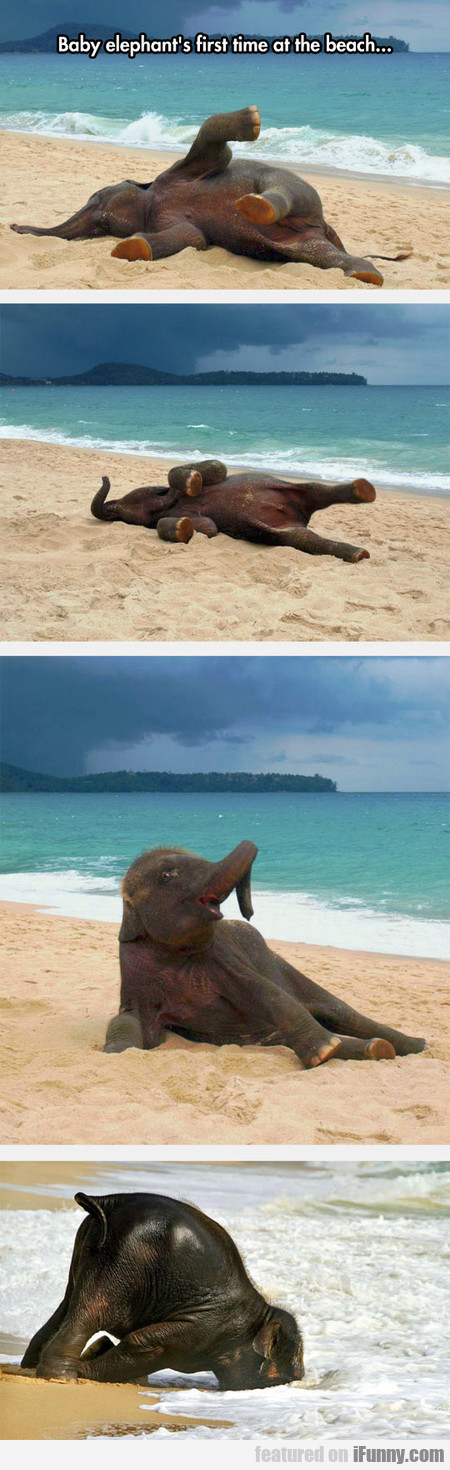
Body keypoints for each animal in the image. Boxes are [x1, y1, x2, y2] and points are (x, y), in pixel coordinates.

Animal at [11, 106, 411, 286]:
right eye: (101, 227)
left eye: (97, 196)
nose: (14, 227)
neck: (152, 197)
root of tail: (327, 226)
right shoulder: (170, 220)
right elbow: (193, 238)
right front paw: (130, 248)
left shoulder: (180, 170)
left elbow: (217, 152)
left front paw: (252, 121)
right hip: (304, 239)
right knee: (317, 254)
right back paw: (366, 274)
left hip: (300, 193)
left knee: (279, 185)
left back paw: (252, 205)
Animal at [15, 1190, 304, 1388]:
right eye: (293, 1373)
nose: (300, 1376)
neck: (260, 1314)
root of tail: (110, 1201)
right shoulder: (204, 1329)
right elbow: (146, 1344)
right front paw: (89, 1367)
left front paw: (100, 1353)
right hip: (124, 1260)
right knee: (93, 1311)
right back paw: (63, 1378)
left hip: (88, 1249)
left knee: (68, 1304)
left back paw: (32, 1367)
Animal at [91, 457, 378, 563]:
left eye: (122, 511)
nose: (104, 476)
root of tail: (301, 517)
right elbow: (208, 528)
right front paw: (184, 526)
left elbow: (218, 467)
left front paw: (192, 480)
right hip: (283, 531)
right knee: (305, 538)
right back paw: (358, 553)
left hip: (289, 489)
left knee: (315, 489)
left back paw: (363, 489)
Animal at [104, 840, 426, 1068]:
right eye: (167, 875)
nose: (249, 913)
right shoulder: (132, 973)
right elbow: (127, 1019)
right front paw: (118, 1052)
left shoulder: (225, 958)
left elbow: (265, 992)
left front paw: (324, 1052)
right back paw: (375, 1048)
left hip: (286, 968)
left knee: (346, 1014)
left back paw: (412, 1045)